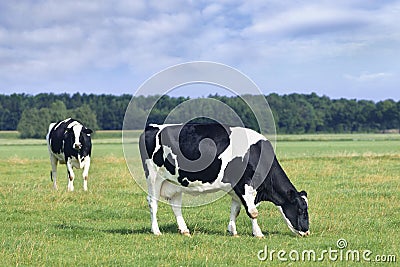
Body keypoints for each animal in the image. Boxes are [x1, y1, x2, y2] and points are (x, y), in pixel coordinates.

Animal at [139, 123, 310, 239]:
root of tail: (151, 127)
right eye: (301, 210)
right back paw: (156, 231)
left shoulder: (236, 189)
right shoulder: (245, 186)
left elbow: (236, 210)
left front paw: (233, 231)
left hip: (175, 183)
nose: (307, 231)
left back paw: (185, 230)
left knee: (176, 205)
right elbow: (253, 212)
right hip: (153, 177)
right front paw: (258, 233)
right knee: (153, 202)